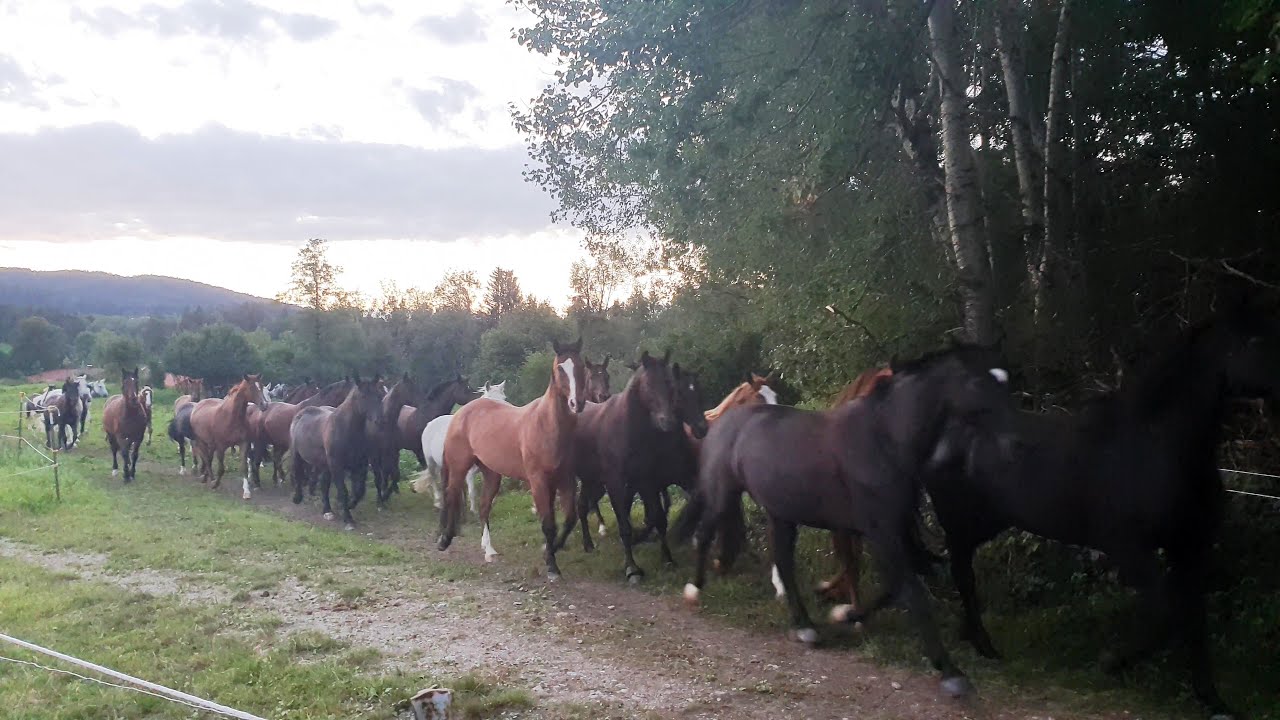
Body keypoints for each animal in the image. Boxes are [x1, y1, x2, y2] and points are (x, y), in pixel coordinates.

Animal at [289, 375, 385, 529]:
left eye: (379, 395)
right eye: (363, 396)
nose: (380, 421)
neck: (346, 429)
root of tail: (302, 412)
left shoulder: (359, 465)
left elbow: (359, 490)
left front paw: (349, 505)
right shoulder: (337, 466)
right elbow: (343, 490)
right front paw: (348, 518)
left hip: (324, 464)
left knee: (324, 485)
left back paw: (327, 510)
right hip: (297, 455)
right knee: (297, 473)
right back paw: (298, 498)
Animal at [414, 381, 508, 512]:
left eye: (504, 398)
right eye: (490, 400)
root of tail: (430, 423)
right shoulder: (470, 473)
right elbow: (473, 492)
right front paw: (473, 510)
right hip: (430, 461)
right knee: (433, 479)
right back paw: (438, 502)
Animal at [437, 337, 587, 580]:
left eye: (582, 366)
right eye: (559, 368)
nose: (577, 403)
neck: (548, 425)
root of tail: (462, 412)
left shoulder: (566, 480)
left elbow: (568, 519)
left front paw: (550, 550)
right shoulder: (538, 481)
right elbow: (548, 524)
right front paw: (552, 566)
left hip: (491, 474)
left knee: (483, 507)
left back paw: (489, 551)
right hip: (459, 466)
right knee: (452, 495)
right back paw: (445, 540)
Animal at [681, 343, 1015, 699]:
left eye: (1004, 379)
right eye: (979, 383)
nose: (1016, 438)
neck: (881, 439)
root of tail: (720, 423)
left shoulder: (895, 530)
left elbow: (901, 583)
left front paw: (844, 614)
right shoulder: (880, 532)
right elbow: (911, 591)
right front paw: (951, 672)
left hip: (780, 514)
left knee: (782, 562)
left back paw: (804, 626)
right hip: (724, 493)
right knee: (705, 533)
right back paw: (694, 590)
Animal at [926, 303, 1280, 720]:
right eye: (1253, 341)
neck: (1159, 448)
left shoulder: (1190, 548)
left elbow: (1195, 619)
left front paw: (1213, 701)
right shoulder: (1129, 548)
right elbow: (1168, 613)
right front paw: (1113, 662)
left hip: (987, 523)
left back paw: (976, 640)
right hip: (961, 520)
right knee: (961, 572)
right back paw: (981, 644)